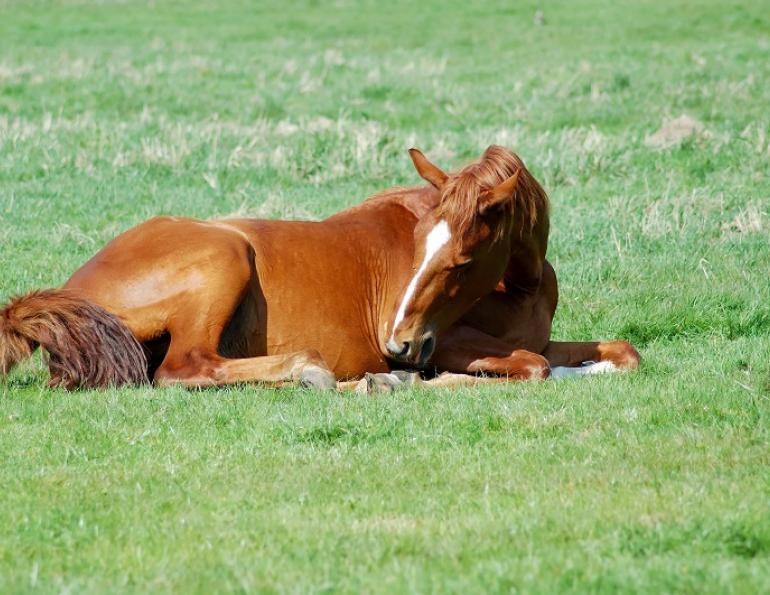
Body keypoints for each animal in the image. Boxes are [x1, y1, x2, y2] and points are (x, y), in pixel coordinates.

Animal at [0, 145, 639, 391]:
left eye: (460, 260)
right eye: (417, 245)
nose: (399, 345)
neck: (518, 286)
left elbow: (618, 353)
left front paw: (595, 366)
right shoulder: (451, 342)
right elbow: (532, 366)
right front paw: (400, 379)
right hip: (225, 257)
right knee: (186, 369)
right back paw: (315, 372)